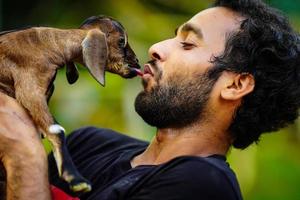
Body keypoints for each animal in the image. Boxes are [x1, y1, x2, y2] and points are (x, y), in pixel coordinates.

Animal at [0, 15, 140, 194]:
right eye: (121, 40)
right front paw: (77, 181)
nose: (136, 62)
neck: (48, 44)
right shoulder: (29, 86)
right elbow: (56, 129)